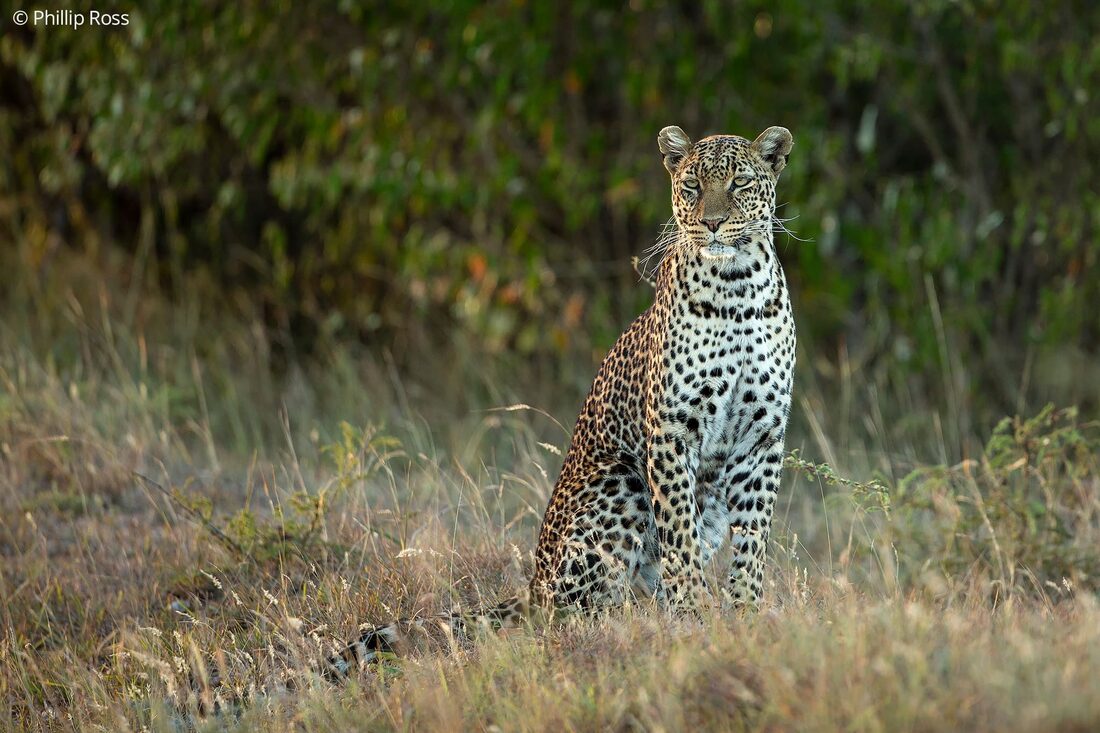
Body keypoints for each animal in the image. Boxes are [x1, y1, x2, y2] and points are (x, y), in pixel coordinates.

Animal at [327, 124, 796, 677]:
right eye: (691, 187)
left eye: (739, 183)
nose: (714, 224)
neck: (736, 288)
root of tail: (533, 583)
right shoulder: (672, 430)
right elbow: (679, 531)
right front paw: (697, 615)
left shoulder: (762, 436)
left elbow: (754, 536)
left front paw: (746, 613)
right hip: (618, 480)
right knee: (570, 611)